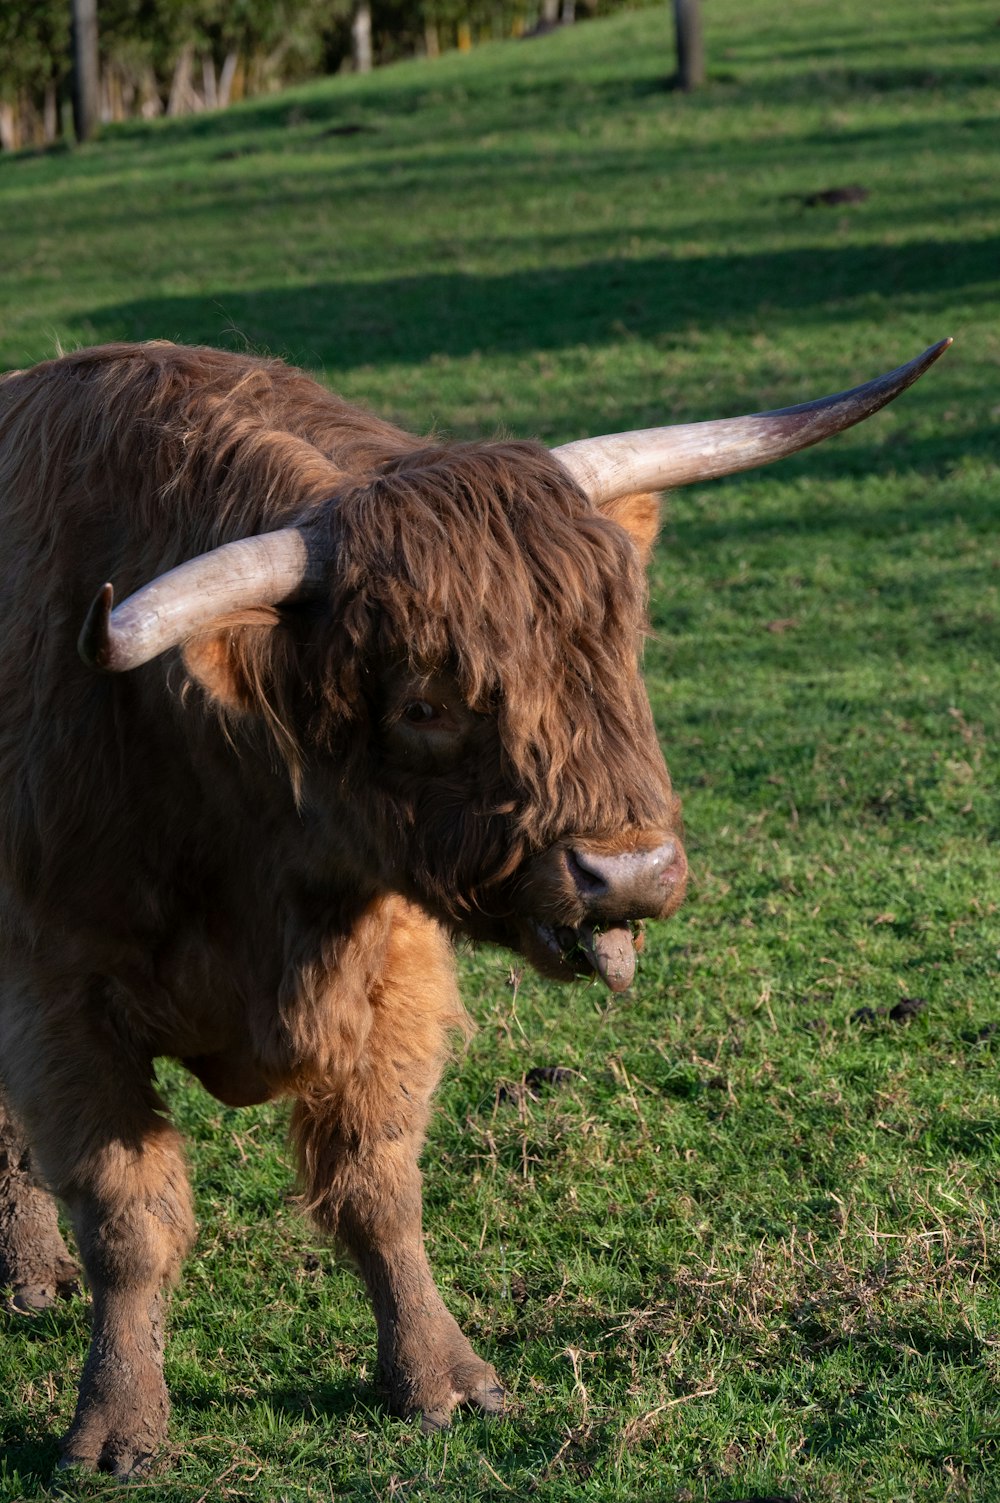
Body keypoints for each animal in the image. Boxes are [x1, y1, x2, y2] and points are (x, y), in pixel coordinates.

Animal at [0, 335, 950, 1472]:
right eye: (422, 703)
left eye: (620, 644)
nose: (629, 875)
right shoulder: (61, 998)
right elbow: (127, 1215)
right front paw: (118, 1426)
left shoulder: (396, 974)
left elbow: (378, 1187)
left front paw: (441, 1378)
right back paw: (30, 1272)